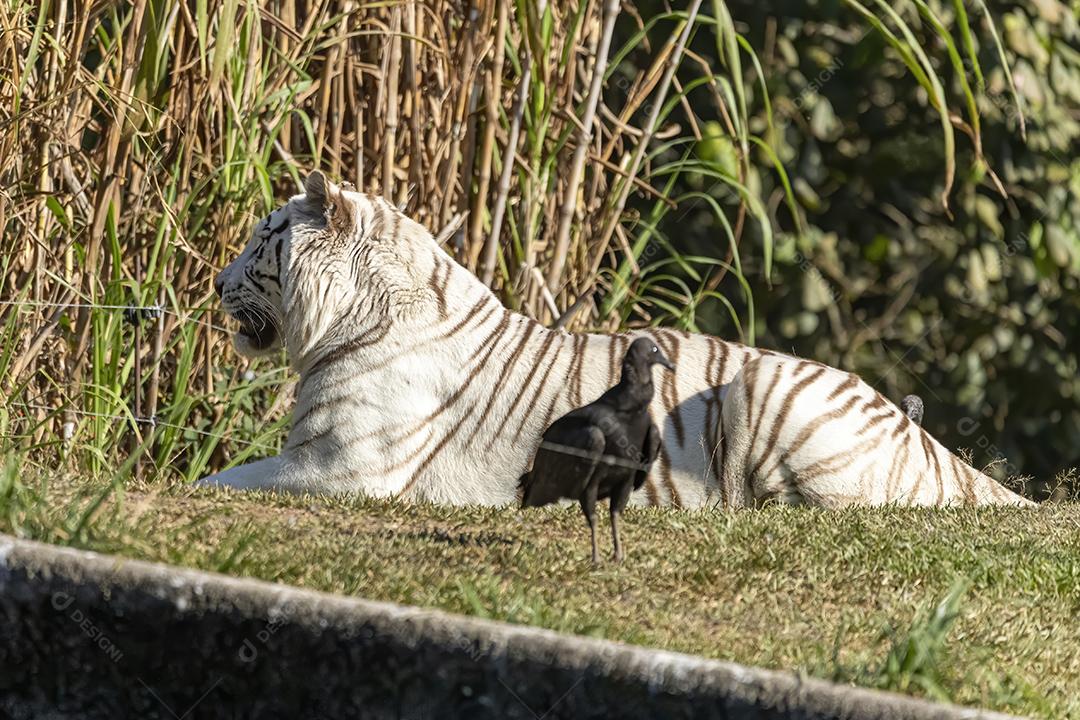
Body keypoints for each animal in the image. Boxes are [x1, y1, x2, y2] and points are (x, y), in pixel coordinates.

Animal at [197, 171, 1032, 509]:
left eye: (264, 238)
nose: (214, 280)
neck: (349, 320)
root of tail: (912, 427)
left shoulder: (343, 466)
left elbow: (219, 479)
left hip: (768, 396)